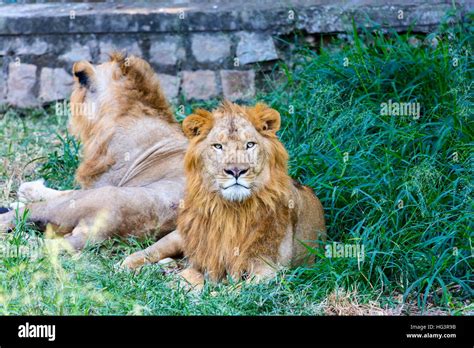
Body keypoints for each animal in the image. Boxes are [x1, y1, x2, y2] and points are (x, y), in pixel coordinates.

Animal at [0, 53, 189, 250]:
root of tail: (100, 232)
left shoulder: (99, 182)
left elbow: (63, 191)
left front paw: (26, 191)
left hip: (78, 202)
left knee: (26, 213)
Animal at [120, 100, 326, 286]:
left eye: (250, 144)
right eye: (218, 146)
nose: (236, 170)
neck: (232, 210)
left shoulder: (268, 268)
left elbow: (236, 291)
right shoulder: (204, 257)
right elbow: (195, 274)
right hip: (178, 237)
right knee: (148, 252)